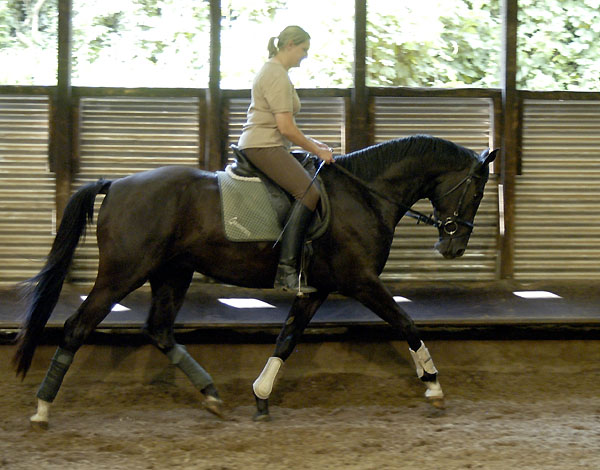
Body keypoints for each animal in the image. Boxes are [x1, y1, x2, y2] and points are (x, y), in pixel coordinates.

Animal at [12, 134, 496, 428]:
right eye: (476, 191)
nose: (453, 247)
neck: (365, 193)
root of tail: (116, 185)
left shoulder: (316, 289)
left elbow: (287, 339)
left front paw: (261, 397)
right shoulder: (359, 280)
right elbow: (407, 323)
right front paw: (433, 385)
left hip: (173, 273)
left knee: (160, 330)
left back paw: (211, 395)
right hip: (123, 273)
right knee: (77, 327)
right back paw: (41, 409)